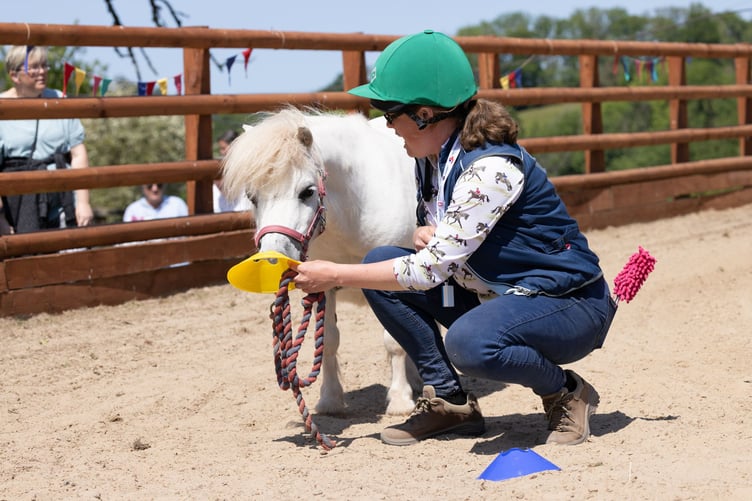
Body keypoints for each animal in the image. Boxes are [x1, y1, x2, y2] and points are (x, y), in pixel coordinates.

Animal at [221, 107, 421, 415]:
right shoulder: (322, 285)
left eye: (307, 191)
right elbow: (327, 341)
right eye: (252, 197)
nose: (272, 260)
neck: (354, 210)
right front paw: (330, 400)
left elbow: (393, 341)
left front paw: (400, 400)